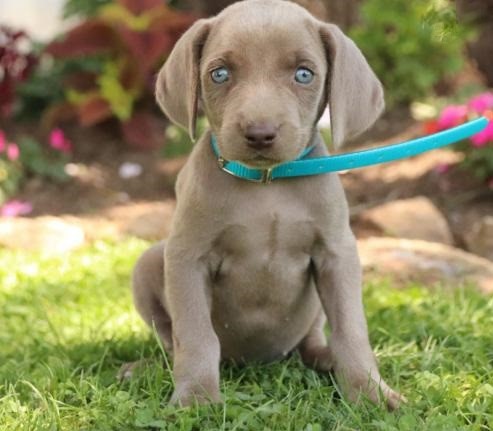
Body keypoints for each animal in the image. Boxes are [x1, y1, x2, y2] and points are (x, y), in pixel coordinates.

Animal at [131, 0, 404, 408]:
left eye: (304, 74)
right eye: (220, 73)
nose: (260, 133)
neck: (267, 184)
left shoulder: (337, 253)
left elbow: (351, 330)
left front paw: (370, 391)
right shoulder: (186, 256)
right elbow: (195, 335)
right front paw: (196, 397)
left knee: (312, 338)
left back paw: (325, 359)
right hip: (149, 261)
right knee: (171, 340)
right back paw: (144, 367)